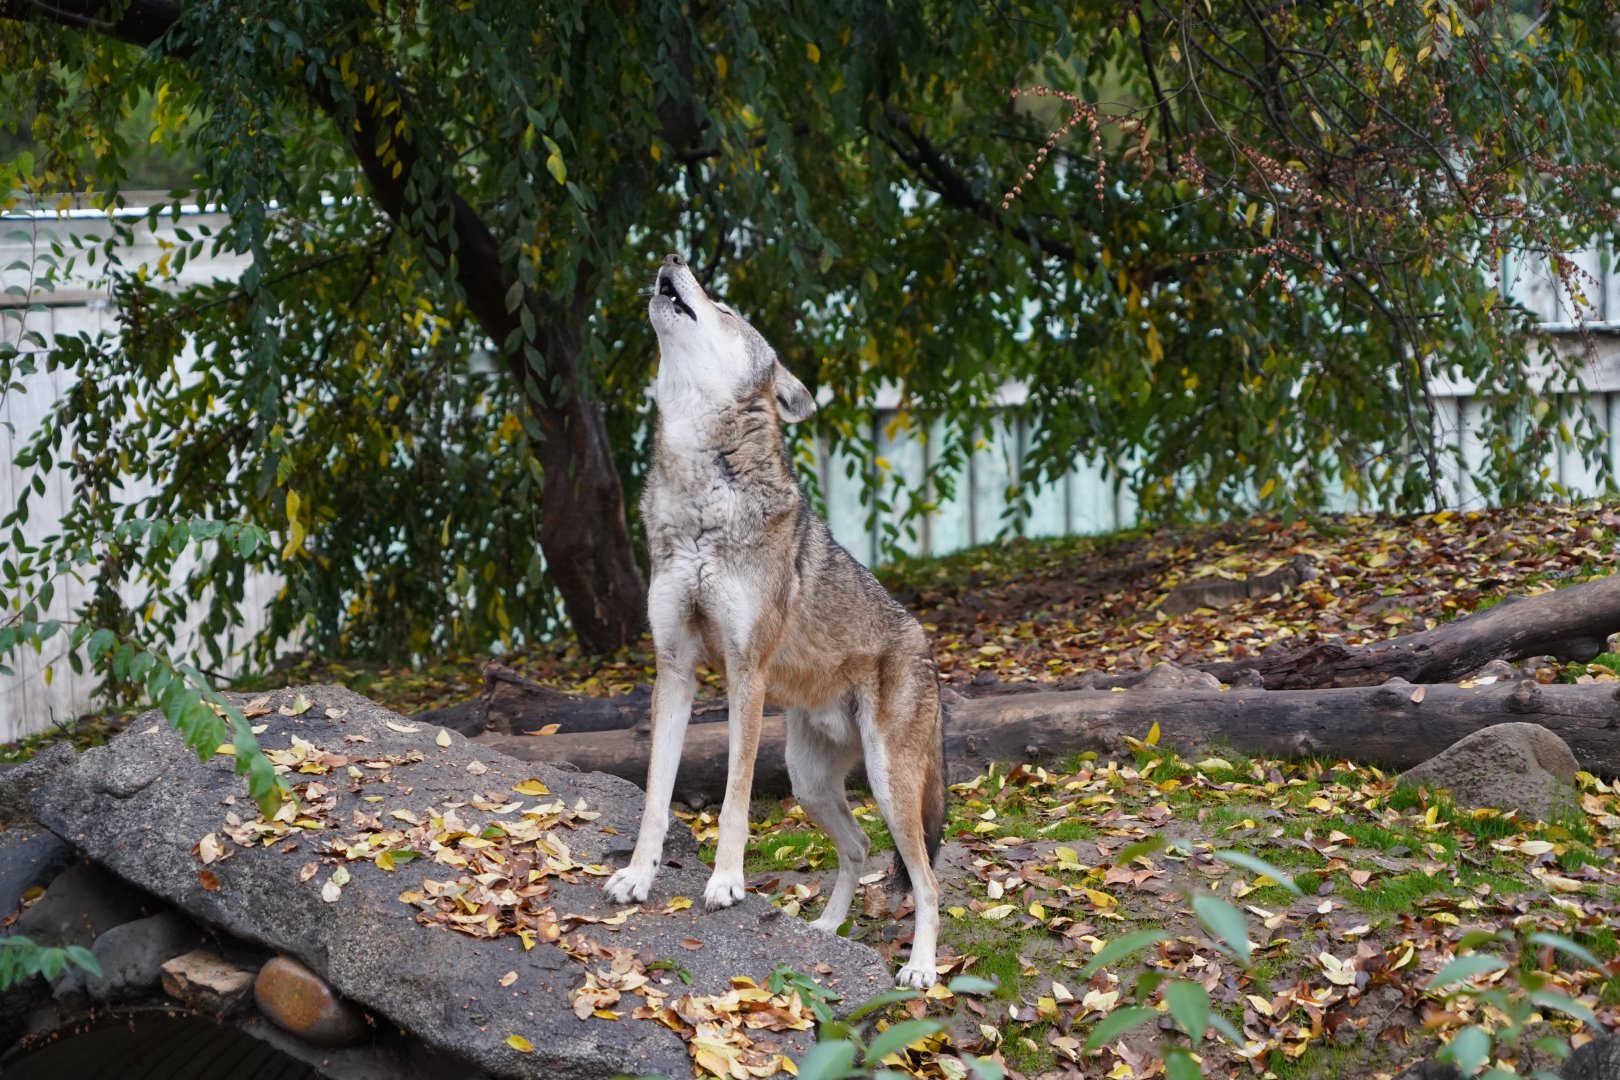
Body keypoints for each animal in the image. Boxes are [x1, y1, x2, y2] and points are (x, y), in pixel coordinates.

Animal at [603, 252, 946, 988]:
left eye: (726, 309)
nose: (672, 257)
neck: (702, 496)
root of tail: (927, 644)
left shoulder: (745, 674)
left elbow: (733, 797)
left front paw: (727, 883)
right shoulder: (673, 670)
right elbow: (655, 796)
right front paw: (637, 877)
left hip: (888, 782)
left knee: (926, 879)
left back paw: (920, 971)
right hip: (809, 784)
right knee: (859, 849)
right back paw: (824, 931)